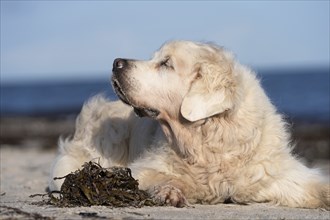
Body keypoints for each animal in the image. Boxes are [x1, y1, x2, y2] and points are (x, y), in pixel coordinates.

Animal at [49, 40, 330, 209]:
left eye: (166, 64)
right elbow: (157, 178)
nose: (116, 62)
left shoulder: (275, 174)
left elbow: (317, 186)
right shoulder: (144, 168)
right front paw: (169, 192)